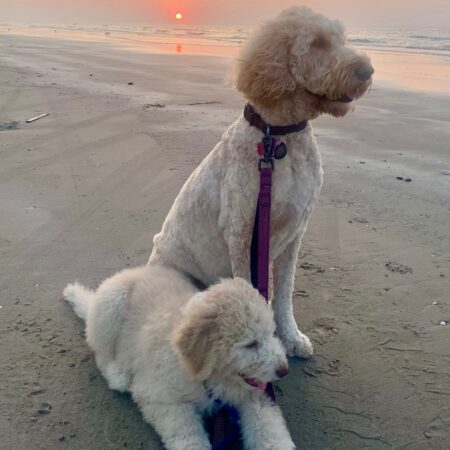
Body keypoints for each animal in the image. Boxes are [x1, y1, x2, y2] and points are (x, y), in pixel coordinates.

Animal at [64, 268, 296, 450]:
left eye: (272, 333)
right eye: (250, 344)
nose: (284, 370)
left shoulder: (251, 395)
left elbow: (268, 428)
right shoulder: (160, 397)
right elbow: (186, 434)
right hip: (110, 308)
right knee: (101, 352)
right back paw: (118, 375)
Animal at [148, 5, 372, 358]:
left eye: (343, 39)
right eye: (317, 43)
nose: (367, 69)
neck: (278, 138)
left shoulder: (294, 234)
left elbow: (283, 294)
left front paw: (291, 337)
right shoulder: (241, 232)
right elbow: (250, 288)